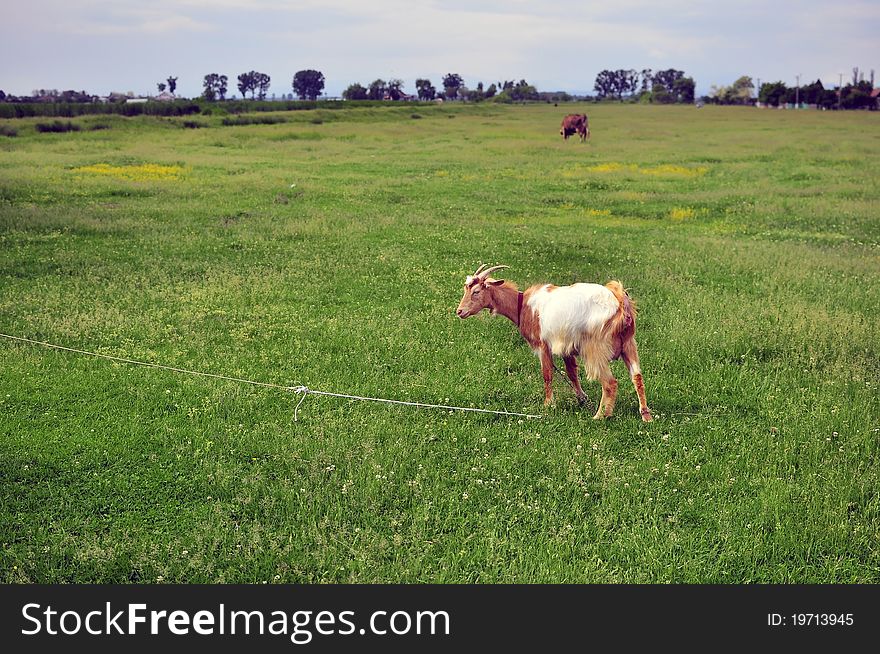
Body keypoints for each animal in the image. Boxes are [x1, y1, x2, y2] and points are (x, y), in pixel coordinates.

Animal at [458, 264, 648, 422]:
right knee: (637, 377)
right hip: (628, 344)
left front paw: (549, 404)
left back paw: (601, 416)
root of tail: (620, 305)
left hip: (595, 349)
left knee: (610, 383)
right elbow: (571, 373)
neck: (522, 306)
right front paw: (582, 398)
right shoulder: (566, 348)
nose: (459, 311)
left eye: (476, 291)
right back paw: (646, 415)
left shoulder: (543, 345)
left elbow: (547, 374)